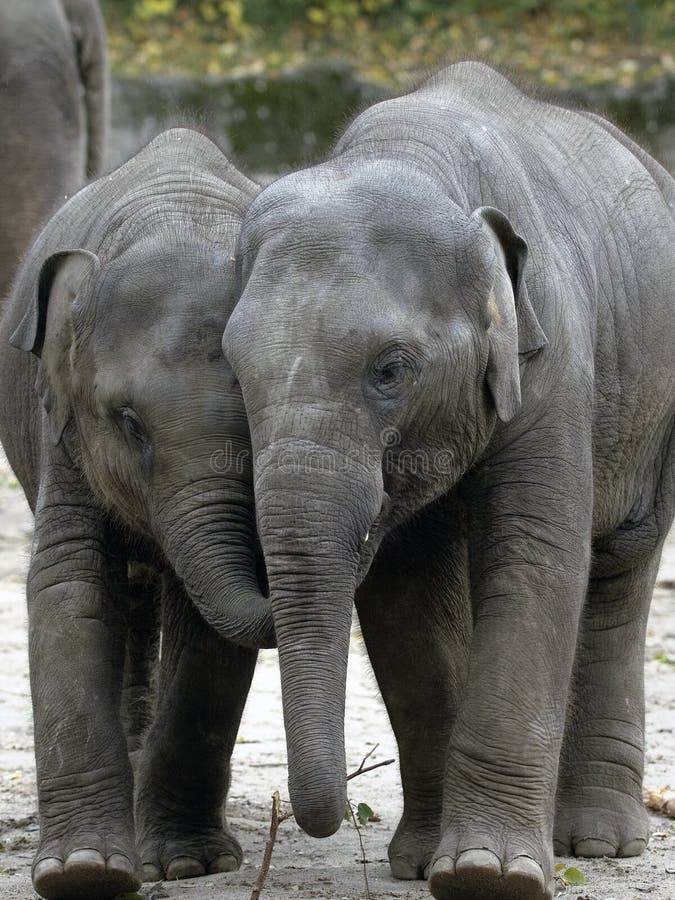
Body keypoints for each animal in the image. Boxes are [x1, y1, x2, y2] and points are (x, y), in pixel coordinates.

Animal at [0, 128, 274, 900]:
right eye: (127, 422)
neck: (179, 219)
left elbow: (207, 632)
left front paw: (185, 866)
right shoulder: (61, 424)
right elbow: (69, 588)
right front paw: (83, 872)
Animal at [223, 61, 675, 900]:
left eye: (390, 370)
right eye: (230, 370)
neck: (412, 156)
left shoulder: (552, 351)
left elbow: (534, 552)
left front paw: (487, 874)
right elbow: (406, 595)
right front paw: (422, 862)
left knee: (619, 570)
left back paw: (595, 843)